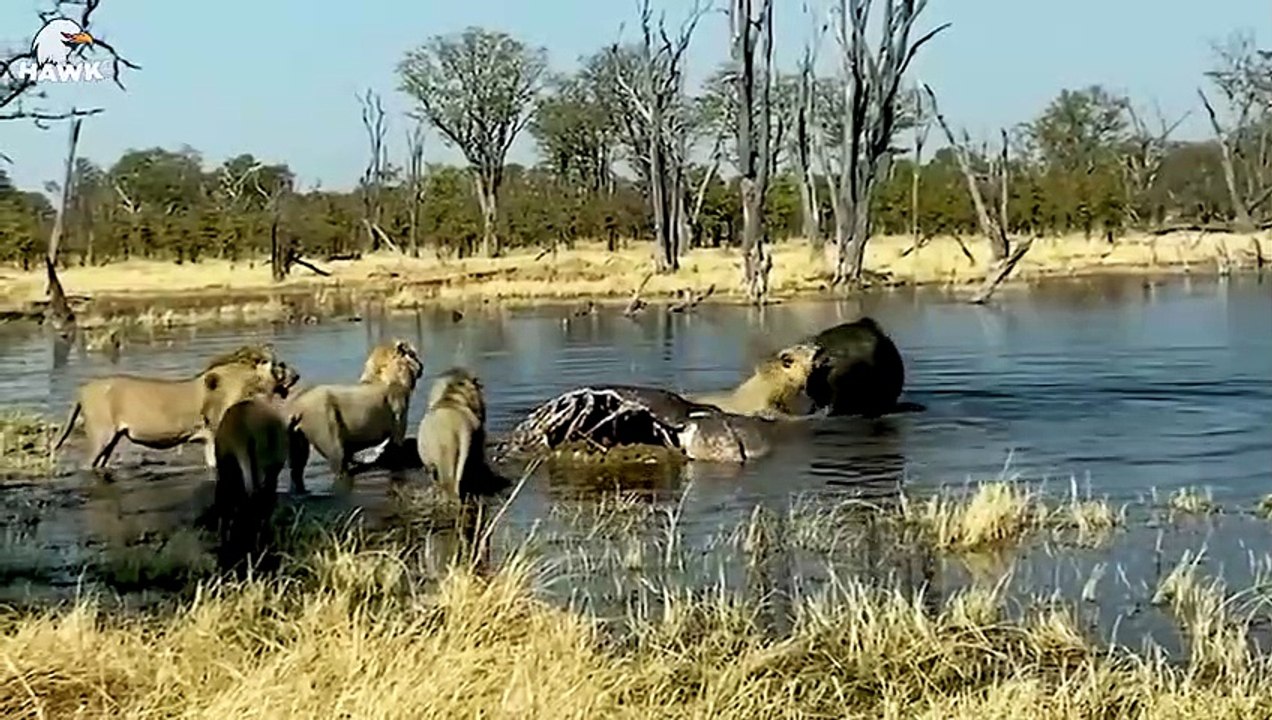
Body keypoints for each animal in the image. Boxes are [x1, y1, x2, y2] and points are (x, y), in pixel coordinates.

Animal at [51, 345, 297, 471]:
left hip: (112, 440)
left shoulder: (209, 440)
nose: (297, 376)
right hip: (101, 436)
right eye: (280, 365)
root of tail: (83, 389)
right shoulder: (218, 436)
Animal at [286, 339, 424, 492]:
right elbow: (396, 456)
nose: (422, 366)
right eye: (412, 354)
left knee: (296, 472)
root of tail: (297, 407)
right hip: (329, 439)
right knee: (340, 468)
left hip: (297, 442)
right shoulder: (399, 424)